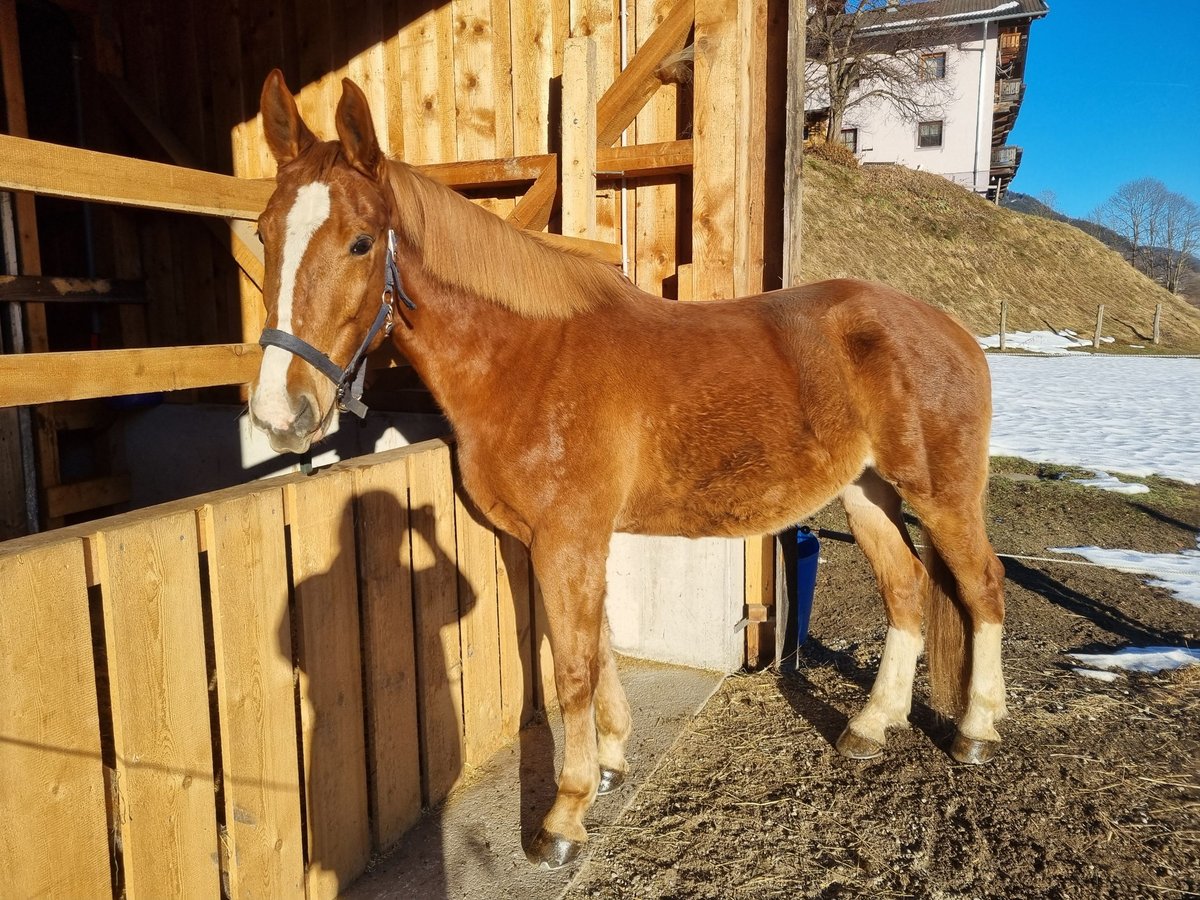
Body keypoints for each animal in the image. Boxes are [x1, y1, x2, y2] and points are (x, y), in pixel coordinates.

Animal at [248, 70, 1008, 873]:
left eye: (361, 242)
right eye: (263, 232)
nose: (278, 410)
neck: (527, 358)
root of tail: (954, 330)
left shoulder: (568, 538)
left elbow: (571, 667)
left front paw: (564, 815)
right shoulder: (567, 541)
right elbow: (599, 642)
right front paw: (611, 762)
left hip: (942, 497)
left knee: (982, 587)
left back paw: (977, 732)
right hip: (866, 494)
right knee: (908, 590)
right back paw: (870, 726)